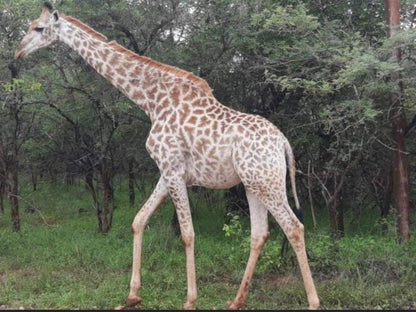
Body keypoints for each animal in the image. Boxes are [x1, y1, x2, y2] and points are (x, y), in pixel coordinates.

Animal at [13, 3, 318, 310]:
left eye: (38, 28)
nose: (18, 52)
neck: (151, 100)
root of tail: (283, 142)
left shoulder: (173, 170)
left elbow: (187, 233)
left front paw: (190, 300)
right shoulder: (167, 172)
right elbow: (139, 220)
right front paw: (132, 295)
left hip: (267, 183)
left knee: (294, 227)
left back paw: (313, 301)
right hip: (252, 184)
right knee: (259, 234)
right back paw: (236, 300)